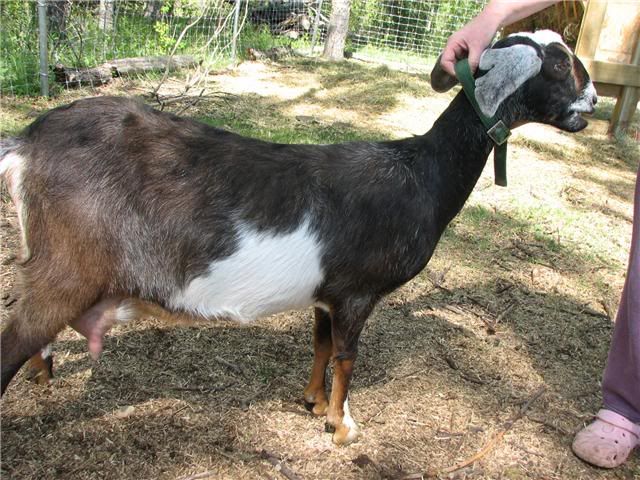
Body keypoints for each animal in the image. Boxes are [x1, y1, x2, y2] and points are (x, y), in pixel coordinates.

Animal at [0, 31, 596, 445]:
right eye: (561, 63)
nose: (592, 103)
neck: (420, 174)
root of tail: (25, 145)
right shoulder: (357, 292)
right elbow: (348, 356)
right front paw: (342, 426)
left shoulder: (326, 296)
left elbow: (321, 344)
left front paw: (312, 401)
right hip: (65, 274)